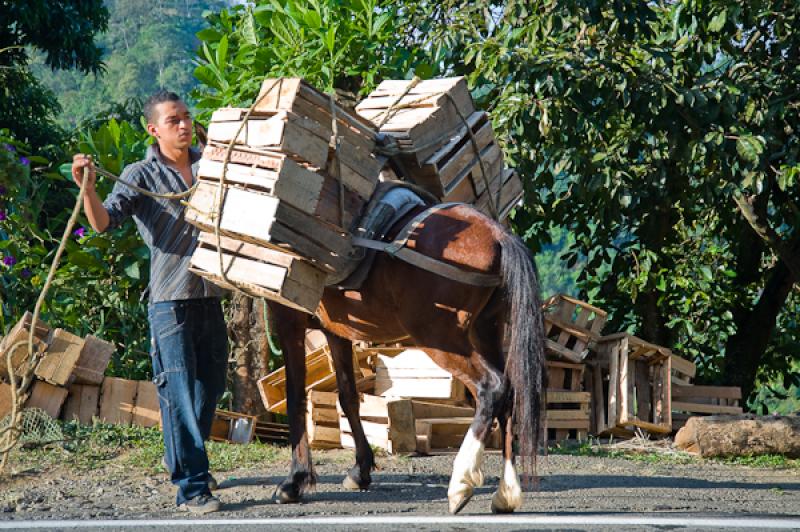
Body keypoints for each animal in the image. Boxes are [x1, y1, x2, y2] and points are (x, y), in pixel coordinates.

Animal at [266, 202, 548, 512]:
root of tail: (498, 235)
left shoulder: (289, 317)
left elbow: (296, 398)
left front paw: (295, 480)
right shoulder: (335, 330)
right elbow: (348, 396)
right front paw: (360, 470)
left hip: (440, 338)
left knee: (492, 387)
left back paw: (461, 483)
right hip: (486, 330)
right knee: (510, 394)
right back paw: (506, 493)